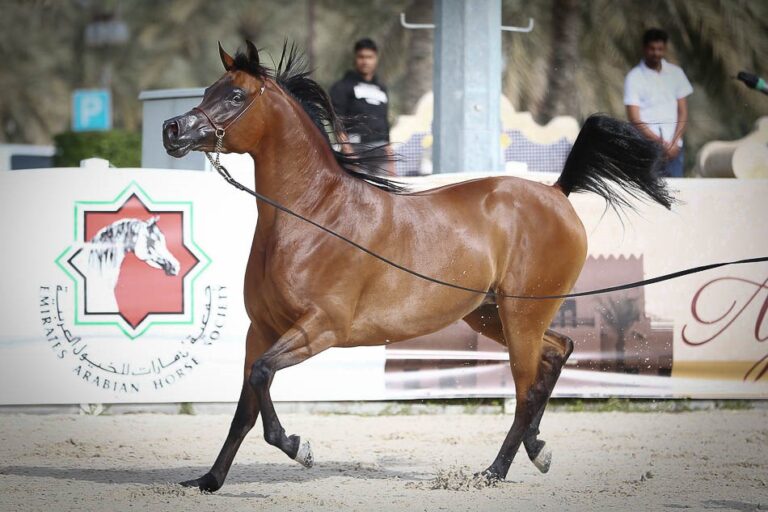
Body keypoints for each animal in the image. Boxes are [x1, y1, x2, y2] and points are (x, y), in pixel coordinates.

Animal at [164, 41, 672, 492]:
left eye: (235, 95)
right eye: (209, 88)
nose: (172, 129)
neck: (313, 216)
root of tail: (556, 191)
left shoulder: (321, 328)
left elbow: (262, 378)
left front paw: (298, 447)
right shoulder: (261, 330)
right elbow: (244, 408)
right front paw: (208, 481)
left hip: (521, 316)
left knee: (527, 389)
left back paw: (495, 471)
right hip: (493, 315)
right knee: (558, 351)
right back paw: (537, 450)